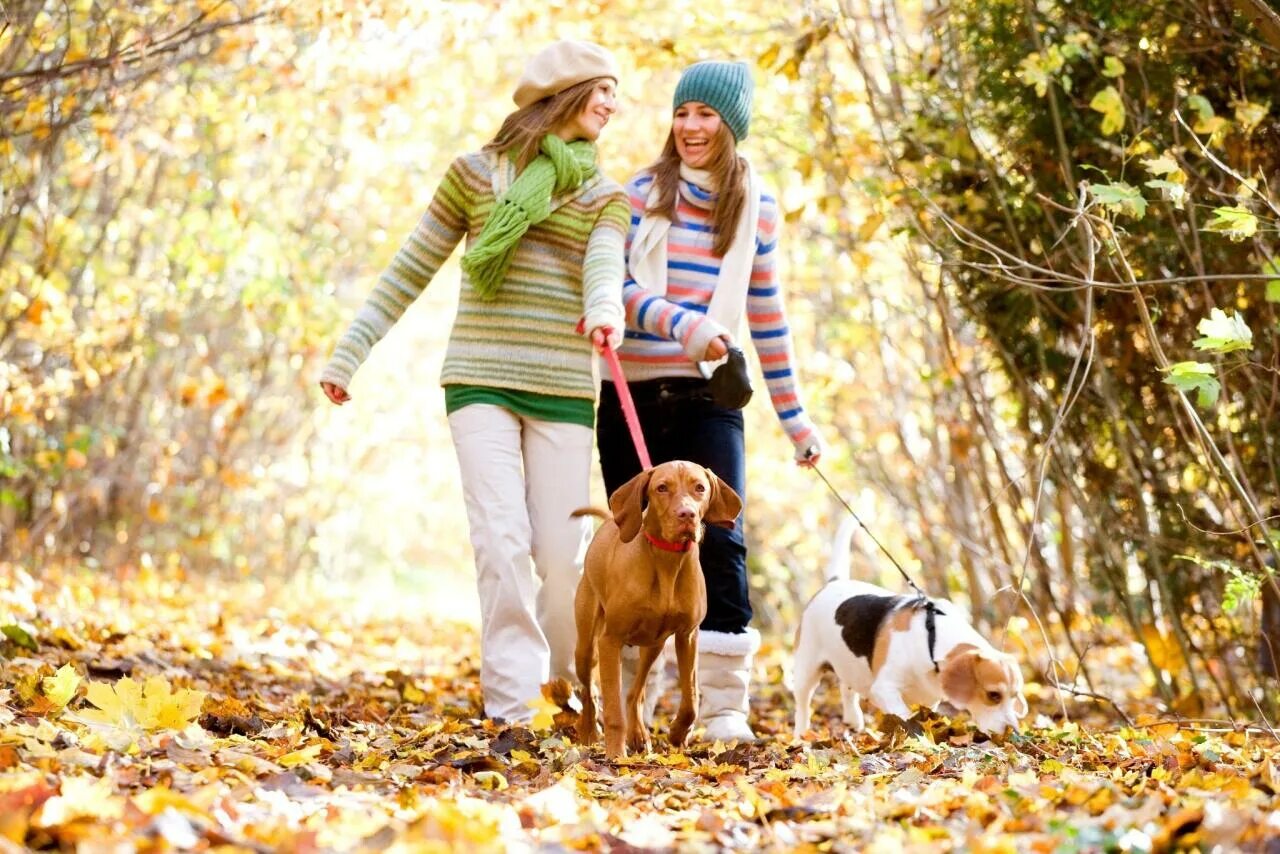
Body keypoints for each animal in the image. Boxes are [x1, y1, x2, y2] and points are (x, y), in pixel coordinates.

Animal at [578, 463, 747, 757]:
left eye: (699, 488)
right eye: (662, 488)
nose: (687, 514)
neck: (668, 559)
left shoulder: (687, 636)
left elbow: (691, 698)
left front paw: (678, 733)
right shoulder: (610, 640)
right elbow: (612, 710)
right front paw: (616, 755)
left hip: (653, 645)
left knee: (635, 693)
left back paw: (638, 734)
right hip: (587, 647)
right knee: (590, 692)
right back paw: (589, 731)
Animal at [793, 517, 1024, 737]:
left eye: (1014, 696)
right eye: (993, 695)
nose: (1014, 731)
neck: (931, 639)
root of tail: (834, 582)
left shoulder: (929, 698)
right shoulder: (885, 689)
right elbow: (905, 718)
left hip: (850, 665)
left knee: (847, 688)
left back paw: (853, 720)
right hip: (807, 670)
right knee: (803, 703)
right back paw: (801, 734)